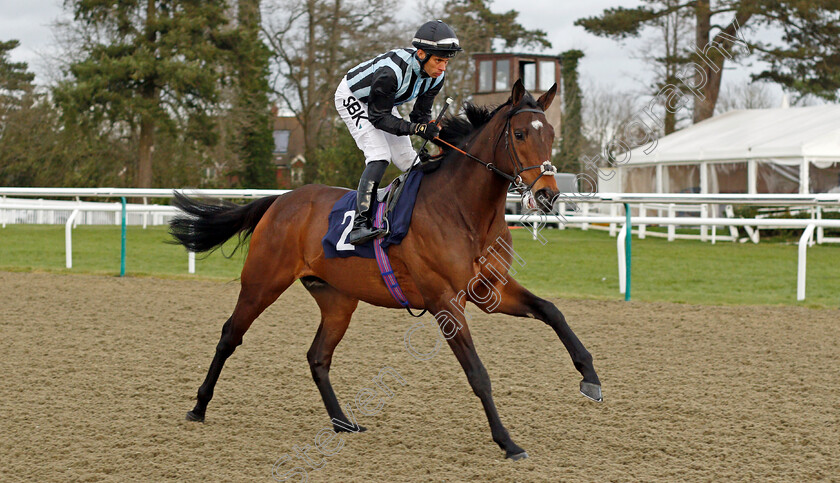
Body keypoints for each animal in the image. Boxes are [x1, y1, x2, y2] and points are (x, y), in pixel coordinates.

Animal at [171, 80, 600, 462]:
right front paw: (508, 442)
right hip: (262, 281)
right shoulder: (445, 301)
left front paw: (590, 379)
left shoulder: (491, 289)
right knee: (230, 335)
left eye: (551, 135)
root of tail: (280, 200)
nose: (548, 194)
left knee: (317, 357)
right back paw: (199, 406)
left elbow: (552, 311)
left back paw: (343, 422)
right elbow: (478, 373)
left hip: (337, 300)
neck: (463, 210)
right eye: (521, 133)